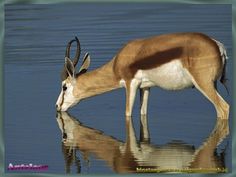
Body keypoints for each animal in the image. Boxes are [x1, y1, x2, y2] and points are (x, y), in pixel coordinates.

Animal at [55, 32, 229, 119]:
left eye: (64, 87)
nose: (57, 106)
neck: (117, 63)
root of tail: (218, 46)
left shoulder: (130, 84)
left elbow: (127, 113)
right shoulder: (145, 87)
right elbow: (143, 112)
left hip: (203, 84)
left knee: (224, 108)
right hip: (212, 84)